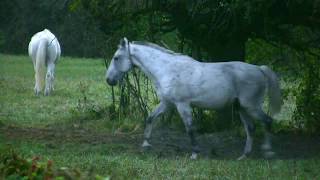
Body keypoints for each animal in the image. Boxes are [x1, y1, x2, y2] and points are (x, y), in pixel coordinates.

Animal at [106, 37, 282, 159]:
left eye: (116, 57)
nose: (109, 80)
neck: (167, 69)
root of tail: (260, 69)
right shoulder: (167, 103)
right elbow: (150, 118)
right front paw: (146, 144)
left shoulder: (182, 105)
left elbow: (190, 128)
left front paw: (195, 154)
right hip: (241, 108)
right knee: (251, 128)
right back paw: (244, 156)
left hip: (251, 106)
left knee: (267, 121)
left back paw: (268, 152)